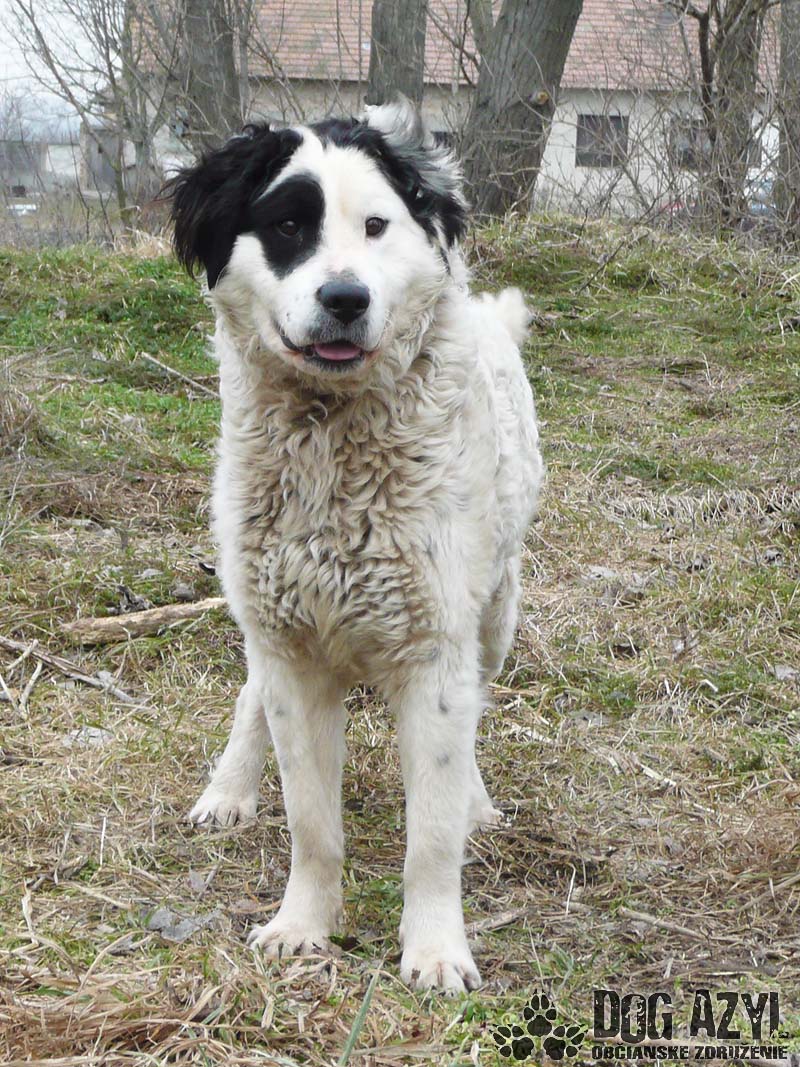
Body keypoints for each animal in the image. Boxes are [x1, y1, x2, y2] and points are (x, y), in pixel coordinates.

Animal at [168, 98, 542, 993]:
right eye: (289, 226)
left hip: (494, 615)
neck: (330, 438)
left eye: (376, 226)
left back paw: (477, 799)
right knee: (250, 696)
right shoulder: (291, 647)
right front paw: (302, 926)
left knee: (478, 703)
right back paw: (229, 788)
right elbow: (313, 823)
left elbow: (431, 837)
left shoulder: (435, 653)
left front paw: (436, 949)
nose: (345, 296)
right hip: (263, 611)